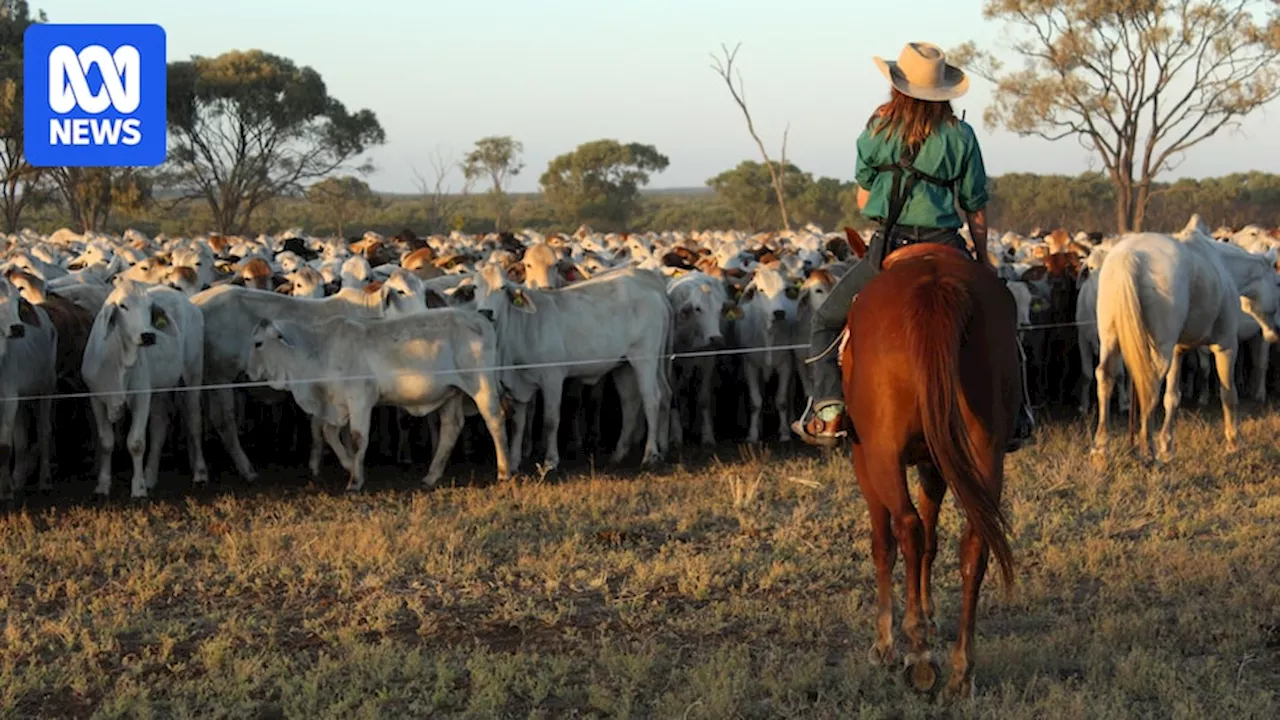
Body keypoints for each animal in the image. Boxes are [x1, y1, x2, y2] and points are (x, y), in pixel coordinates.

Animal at [839, 238, 1018, 696]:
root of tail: (932, 287)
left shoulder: (866, 460)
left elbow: (885, 543)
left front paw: (886, 641)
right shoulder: (936, 462)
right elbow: (933, 539)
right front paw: (927, 613)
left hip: (881, 454)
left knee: (906, 527)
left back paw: (918, 658)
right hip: (984, 451)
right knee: (973, 542)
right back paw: (960, 670)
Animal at [1090, 212, 1280, 461]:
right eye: (1277, 282)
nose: (1274, 333)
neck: (1223, 266)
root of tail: (1129, 257)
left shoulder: (1177, 350)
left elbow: (1172, 396)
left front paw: (1167, 446)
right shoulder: (1226, 345)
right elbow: (1228, 393)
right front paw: (1234, 442)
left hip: (1111, 338)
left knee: (1106, 375)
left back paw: (1101, 448)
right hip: (1159, 346)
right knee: (1150, 381)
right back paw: (1147, 448)